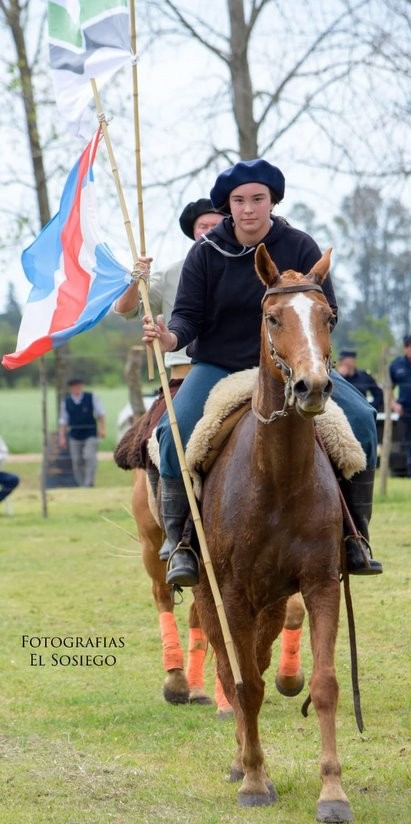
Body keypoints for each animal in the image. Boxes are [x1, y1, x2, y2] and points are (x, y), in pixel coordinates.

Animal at [195, 246, 352, 824]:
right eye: (272, 318)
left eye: (328, 316)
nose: (313, 386)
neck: (278, 478)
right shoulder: (233, 595)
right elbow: (245, 684)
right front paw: (256, 781)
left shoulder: (320, 584)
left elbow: (324, 685)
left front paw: (332, 792)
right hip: (210, 594)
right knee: (231, 670)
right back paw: (242, 762)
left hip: (272, 600)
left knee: (257, 663)